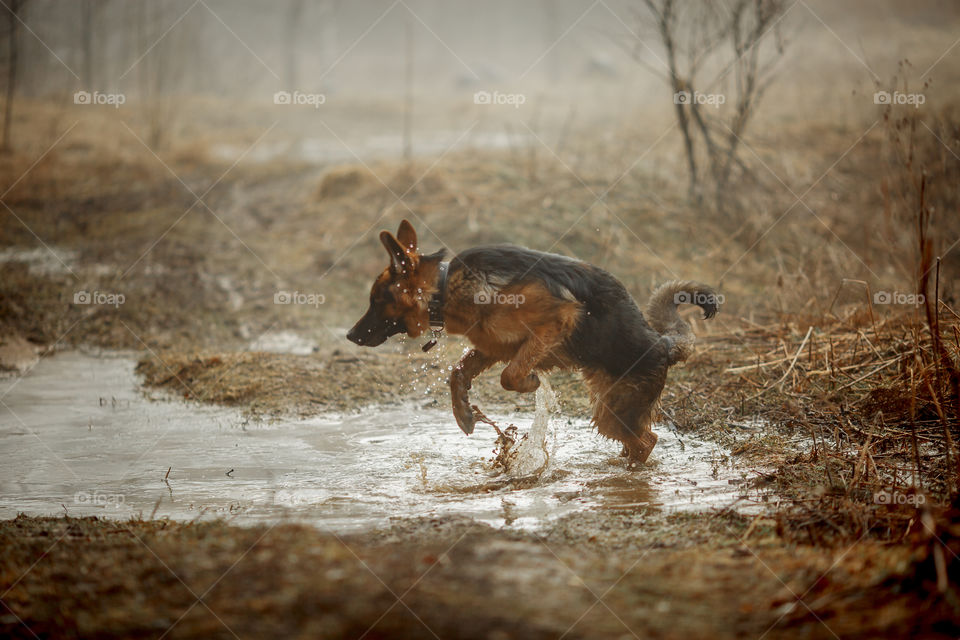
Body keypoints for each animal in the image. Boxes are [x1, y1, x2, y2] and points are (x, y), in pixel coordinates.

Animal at [348, 222, 716, 462]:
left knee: (648, 441)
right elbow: (458, 372)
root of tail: (662, 343)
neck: (445, 286)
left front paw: (531, 382)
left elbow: (508, 376)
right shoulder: (493, 347)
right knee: (641, 440)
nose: (350, 335)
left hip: (616, 412)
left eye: (376, 300)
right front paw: (463, 411)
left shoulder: (557, 320)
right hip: (610, 410)